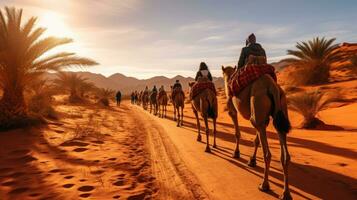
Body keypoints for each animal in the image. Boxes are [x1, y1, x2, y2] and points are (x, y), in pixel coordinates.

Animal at [221, 65, 290, 200]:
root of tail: (272, 87)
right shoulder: (263, 119)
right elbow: (256, 140)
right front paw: (252, 160)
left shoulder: (232, 110)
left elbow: (237, 133)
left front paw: (236, 153)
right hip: (280, 108)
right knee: (285, 154)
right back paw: (285, 194)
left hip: (258, 104)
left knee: (267, 154)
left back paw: (264, 185)